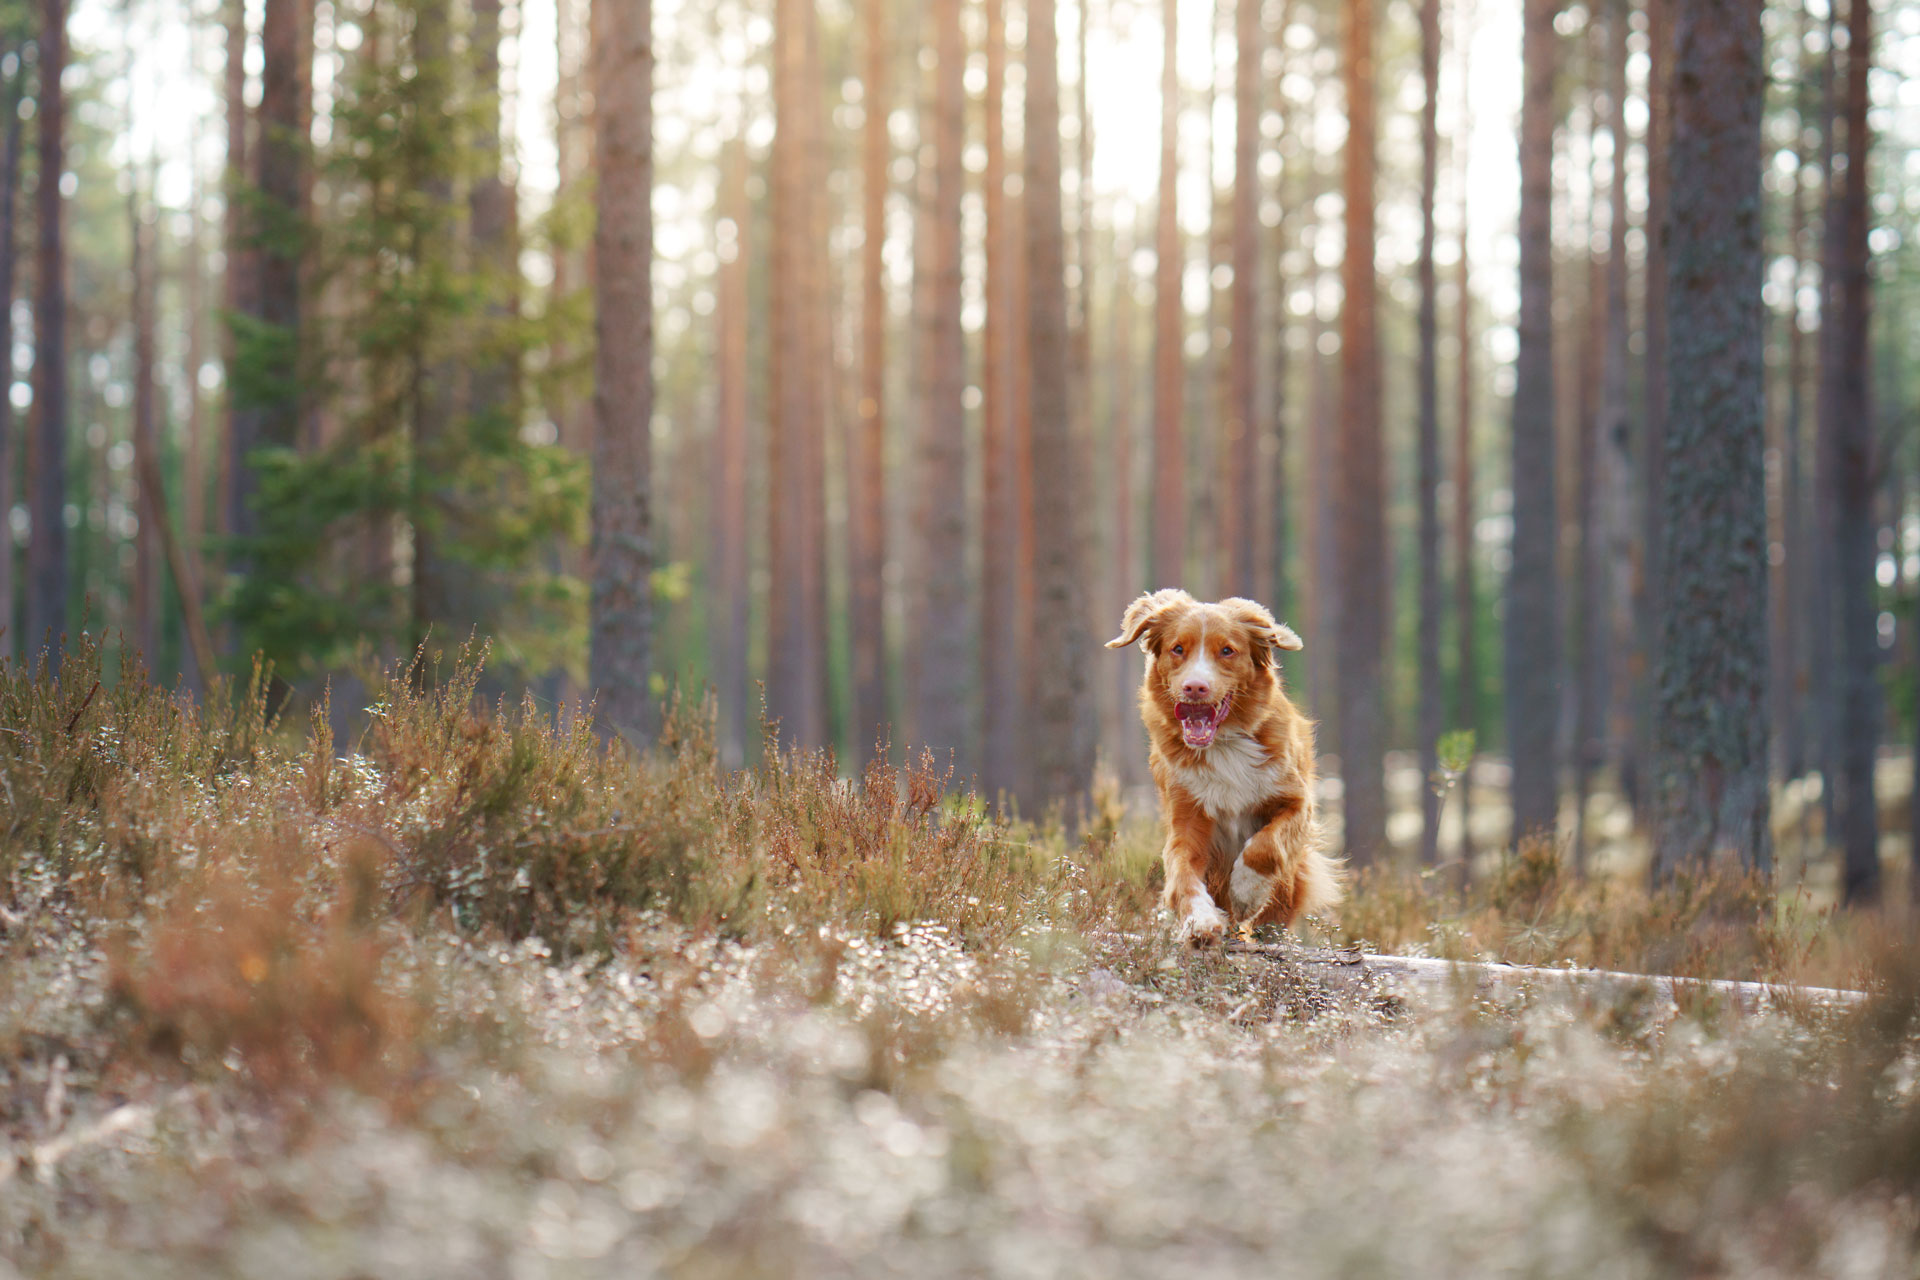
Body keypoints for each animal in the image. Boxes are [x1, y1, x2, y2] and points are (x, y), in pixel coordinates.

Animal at [1105, 587, 1344, 940]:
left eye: (1227, 651)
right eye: (1178, 649)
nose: (1195, 687)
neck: (1223, 745)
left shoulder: (1297, 802)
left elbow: (1266, 846)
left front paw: (1246, 891)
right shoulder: (1187, 821)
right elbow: (1182, 874)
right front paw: (1201, 922)